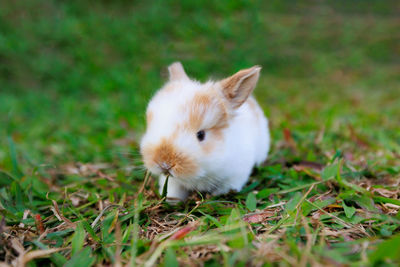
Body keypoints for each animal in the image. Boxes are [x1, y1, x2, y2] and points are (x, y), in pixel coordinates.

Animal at [139, 61, 270, 202]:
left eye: (201, 135)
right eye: (152, 125)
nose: (164, 164)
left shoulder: (236, 174)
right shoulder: (172, 181)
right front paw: (171, 200)